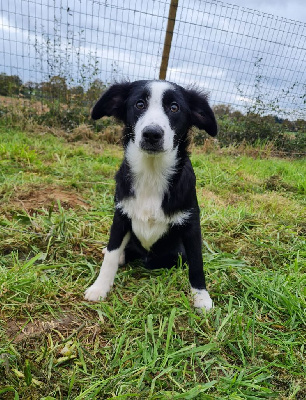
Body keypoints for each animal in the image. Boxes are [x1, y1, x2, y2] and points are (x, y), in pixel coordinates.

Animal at [84, 79, 218, 310]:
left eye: (174, 107)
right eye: (139, 104)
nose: (152, 134)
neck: (152, 172)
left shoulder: (191, 223)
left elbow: (197, 262)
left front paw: (201, 297)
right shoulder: (120, 216)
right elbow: (111, 254)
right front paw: (100, 288)